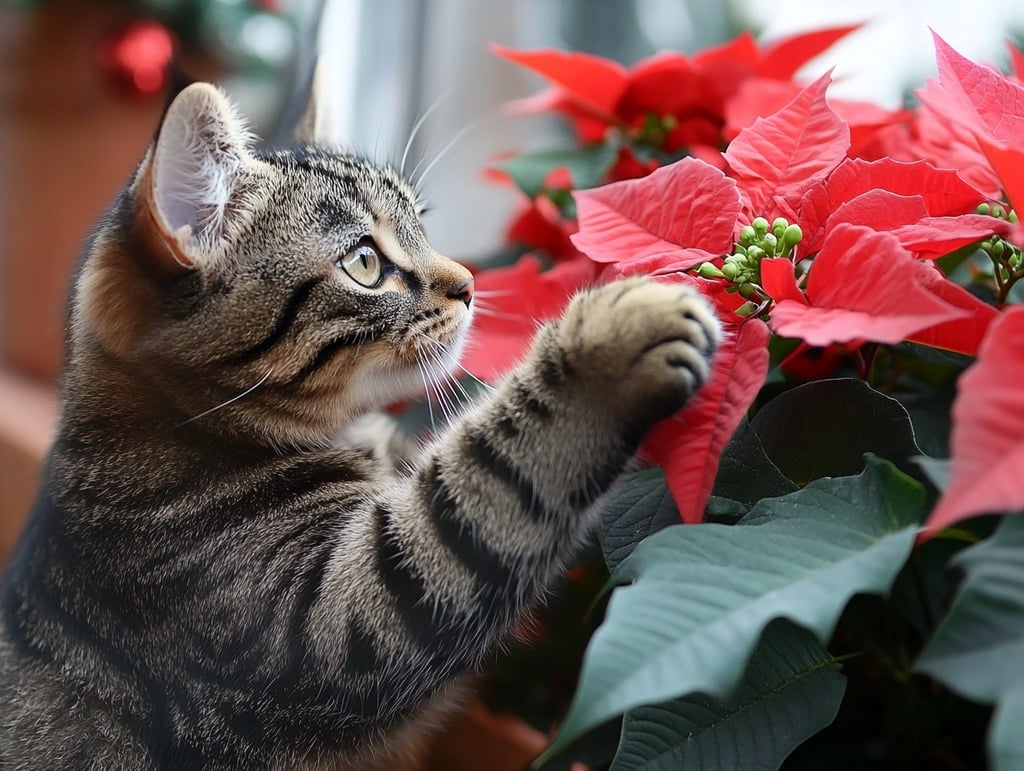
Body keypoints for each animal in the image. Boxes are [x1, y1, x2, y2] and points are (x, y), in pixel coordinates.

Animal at [0, 81, 720, 765]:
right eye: (366, 263)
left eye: (421, 223)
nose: (469, 282)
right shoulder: (334, 624)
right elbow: (493, 479)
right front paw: (604, 346)